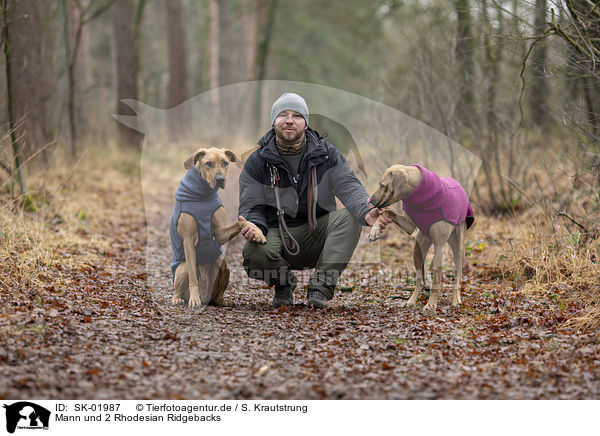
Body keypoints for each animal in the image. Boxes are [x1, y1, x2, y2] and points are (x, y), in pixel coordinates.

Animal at [166, 148, 264, 308]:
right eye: (208, 163)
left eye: (225, 162)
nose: (220, 179)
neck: (204, 194)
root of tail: (206, 297)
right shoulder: (188, 240)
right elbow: (193, 277)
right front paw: (194, 299)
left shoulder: (220, 233)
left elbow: (240, 223)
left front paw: (256, 231)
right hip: (184, 267)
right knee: (180, 285)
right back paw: (179, 298)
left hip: (223, 266)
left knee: (217, 295)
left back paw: (223, 301)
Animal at [368, 164, 476, 310]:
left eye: (382, 185)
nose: (371, 200)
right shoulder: (409, 226)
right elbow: (387, 212)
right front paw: (375, 229)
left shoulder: (439, 245)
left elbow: (437, 277)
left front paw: (431, 303)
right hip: (418, 249)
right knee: (420, 279)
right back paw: (411, 300)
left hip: (457, 248)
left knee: (457, 276)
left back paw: (456, 299)